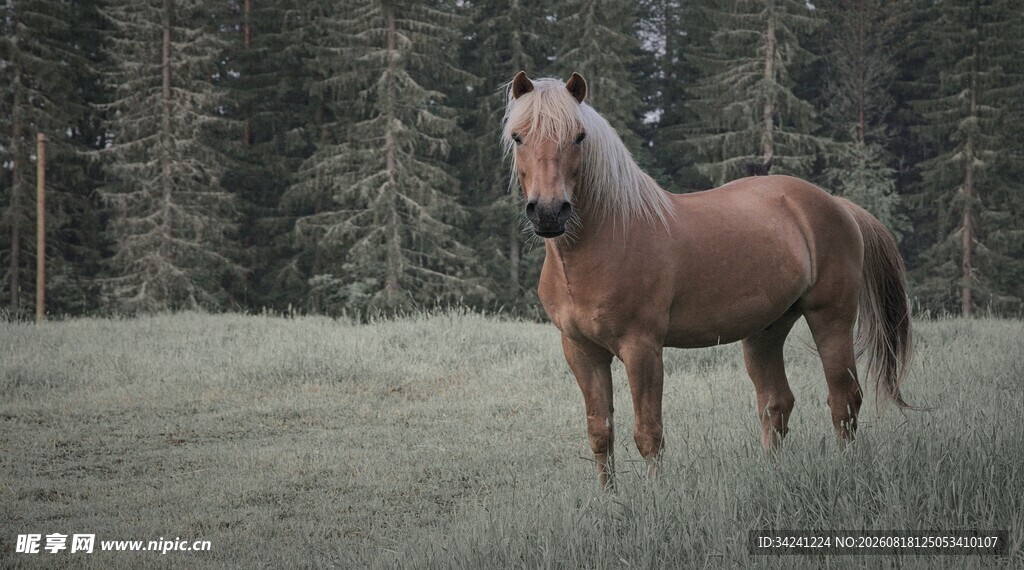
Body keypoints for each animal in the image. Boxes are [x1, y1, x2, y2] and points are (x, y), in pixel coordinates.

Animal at [502, 71, 913, 488]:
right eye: (518, 137)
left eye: (579, 136)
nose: (549, 212)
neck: (608, 239)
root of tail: (837, 205)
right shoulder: (581, 351)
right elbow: (600, 432)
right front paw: (608, 500)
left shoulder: (642, 348)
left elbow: (648, 433)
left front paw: (655, 497)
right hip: (766, 330)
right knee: (776, 404)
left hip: (831, 319)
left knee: (843, 401)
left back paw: (848, 472)